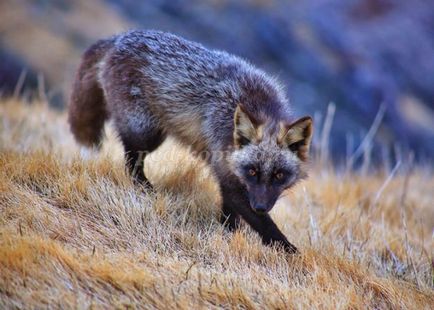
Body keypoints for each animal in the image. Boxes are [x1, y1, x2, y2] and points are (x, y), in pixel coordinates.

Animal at [67, 30, 312, 253]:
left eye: (279, 175)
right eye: (252, 171)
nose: (260, 206)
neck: (259, 105)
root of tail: (119, 38)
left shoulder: (231, 178)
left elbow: (230, 214)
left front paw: (228, 235)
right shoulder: (228, 175)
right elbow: (263, 224)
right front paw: (290, 252)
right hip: (146, 133)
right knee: (131, 160)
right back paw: (146, 190)